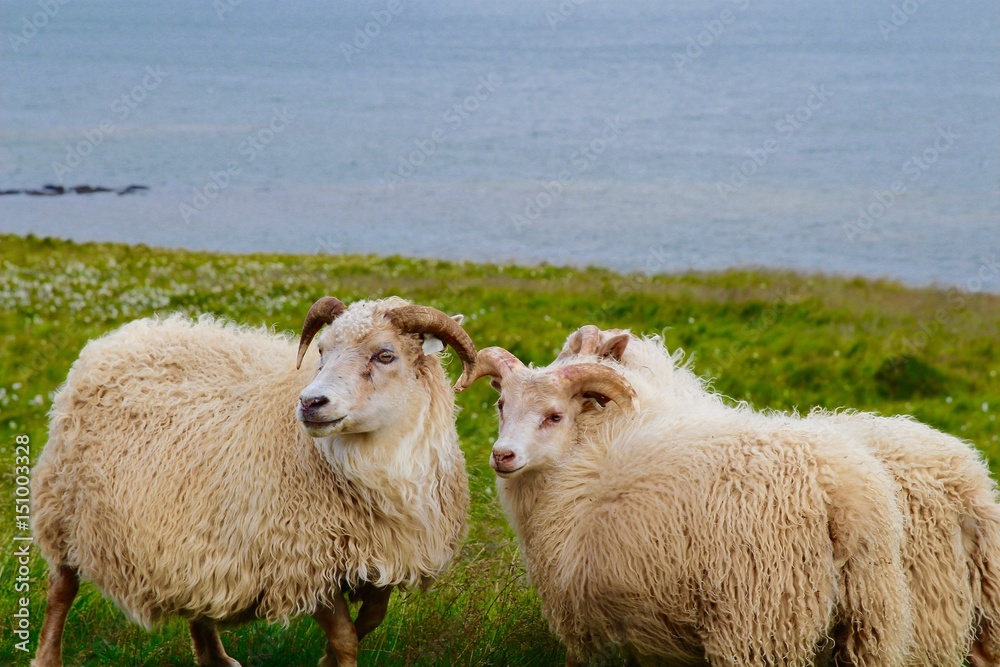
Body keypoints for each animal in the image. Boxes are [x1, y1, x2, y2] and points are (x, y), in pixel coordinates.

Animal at [31, 296, 476, 667]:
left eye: (386, 355)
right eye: (321, 351)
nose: (310, 403)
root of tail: (118, 338)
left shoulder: (387, 555)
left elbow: (370, 621)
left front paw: (324, 661)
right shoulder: (303, 558)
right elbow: (348, 638)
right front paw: (334, 660)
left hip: (194, 530)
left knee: (197, 592)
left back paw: (215, 658)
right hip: (64, 503)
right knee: (61, 589)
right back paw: (48, 657)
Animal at [458, 346, 914, 666]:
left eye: (554, 416)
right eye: (501, 406)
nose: (502, 456)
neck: (581, 461)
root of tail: (840, 496)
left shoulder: (590, 626)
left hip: (757, 623)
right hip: (869, 622)